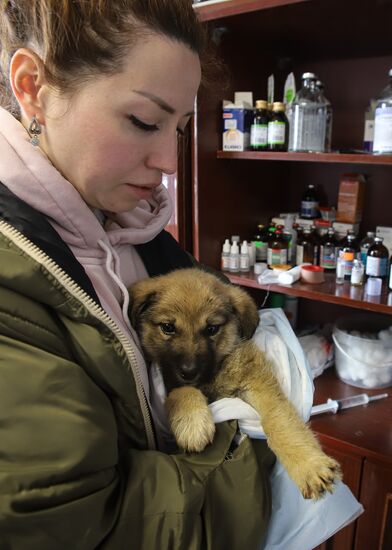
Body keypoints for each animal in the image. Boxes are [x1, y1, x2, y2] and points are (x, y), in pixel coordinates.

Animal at [129, 268, 340, 500]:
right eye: (168, 327)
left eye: (211, 329)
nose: (189, 372)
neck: (214, 374)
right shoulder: (170, 380)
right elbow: (182, 391)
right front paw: (192, 422)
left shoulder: (257, 381)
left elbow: (278, 420)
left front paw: (308, 465)